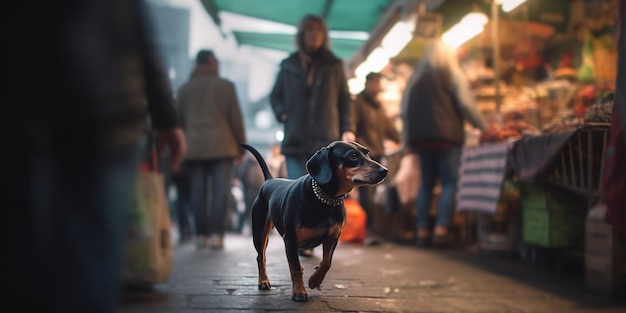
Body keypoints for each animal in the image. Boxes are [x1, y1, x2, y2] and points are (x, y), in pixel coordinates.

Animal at [239, 141, 386, 300]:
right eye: (353, 155)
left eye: (368, 153)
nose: (385, 170)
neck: (325, 200)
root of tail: (269, 180)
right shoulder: (290, 239)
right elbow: (295, 269)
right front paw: (299, 291)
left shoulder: (333, 237)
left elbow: (327, 262)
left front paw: (315, 280)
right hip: (260, 233)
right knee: (261, 257)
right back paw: (264, 281)